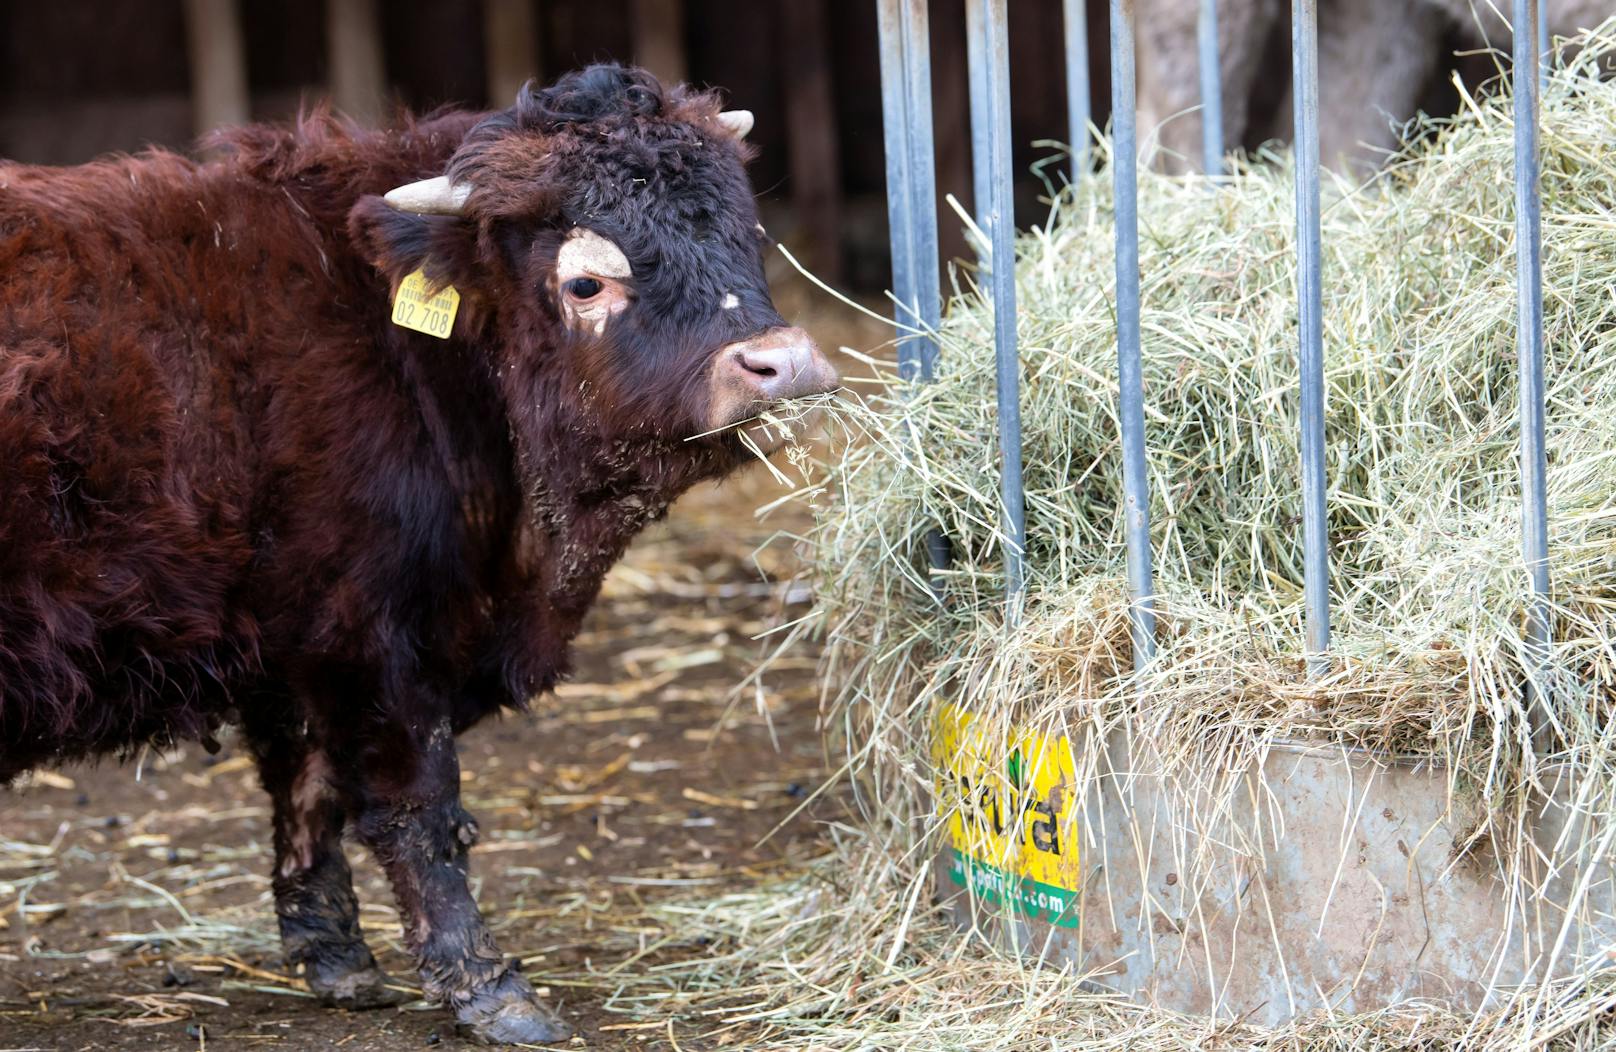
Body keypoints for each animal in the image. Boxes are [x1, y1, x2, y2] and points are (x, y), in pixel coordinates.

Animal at [0, 65, 833, 1047]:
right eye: (586, 283)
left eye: (751, 237)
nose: (784, 363)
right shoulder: (373, 633)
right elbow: (416, 807)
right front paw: (487, 986)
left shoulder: (298, 643)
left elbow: (308, 792)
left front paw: (335, 957)